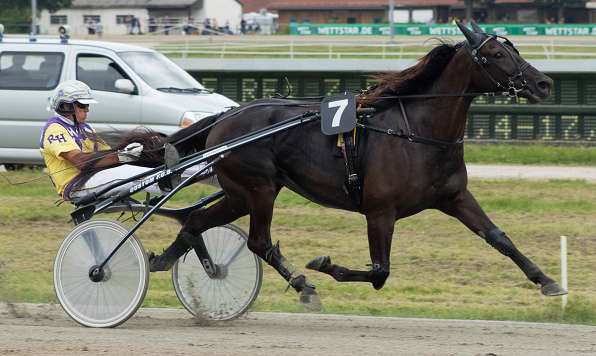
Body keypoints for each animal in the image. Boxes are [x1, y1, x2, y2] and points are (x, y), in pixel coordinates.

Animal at [117, 21, 568, 306]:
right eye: (495, 53)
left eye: (514, 48)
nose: (544, 83)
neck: (418, 132)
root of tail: (227, 116)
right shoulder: (380, 211)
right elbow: (380, 271)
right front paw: (324, 265)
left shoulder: (454, 197)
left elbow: (499, 238)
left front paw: (548, 281)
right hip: (258, 189)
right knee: (259, 241)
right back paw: (302, 283)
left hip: (243, 192)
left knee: (197, 221)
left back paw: (170, 261)